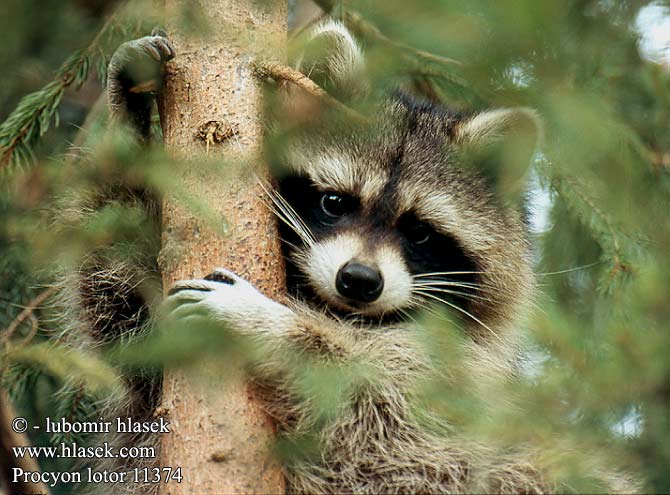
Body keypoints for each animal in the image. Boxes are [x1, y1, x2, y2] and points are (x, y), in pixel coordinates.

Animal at [60, 19, 632, 495]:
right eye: (335, 202)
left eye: (418, 232)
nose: (358, 279)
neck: (339, 311)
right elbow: (125, 313)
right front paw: (127, 135)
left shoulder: (453, 389)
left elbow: (373, 413)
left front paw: (272, 327)